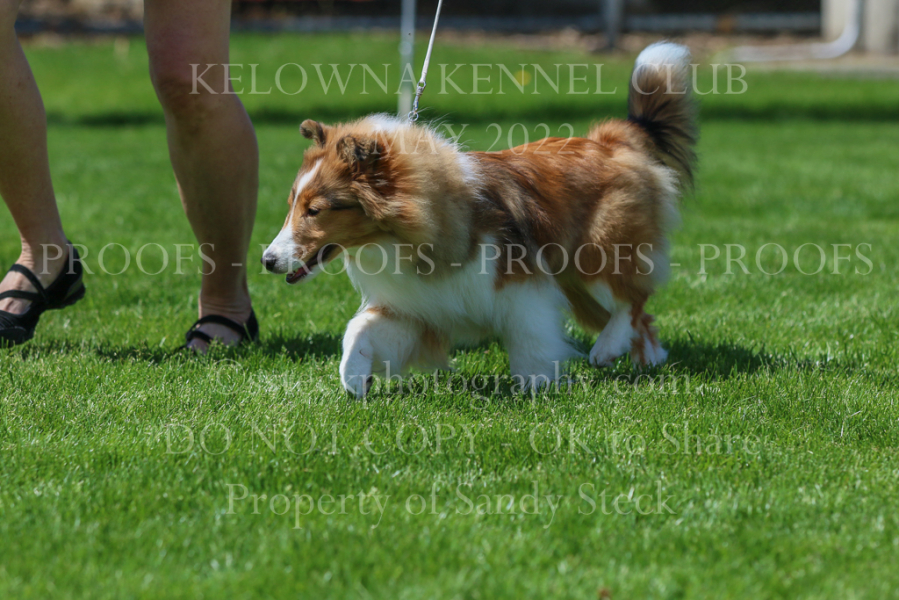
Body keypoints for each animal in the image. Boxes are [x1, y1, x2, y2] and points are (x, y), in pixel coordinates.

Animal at [262, 42, 697, 397]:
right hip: (577, 285)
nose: (266, 260)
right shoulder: (416, 306)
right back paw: (647, 359)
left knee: (633, 300)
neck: (397, 238)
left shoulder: (522, 289)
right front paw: (354, 379)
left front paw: (537, 388)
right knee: (643, 317)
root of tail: (613, 138)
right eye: (292, 205)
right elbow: (358, 330)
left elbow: (530, 342)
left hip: (598, 253)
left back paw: (606, 350)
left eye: (315, 210)